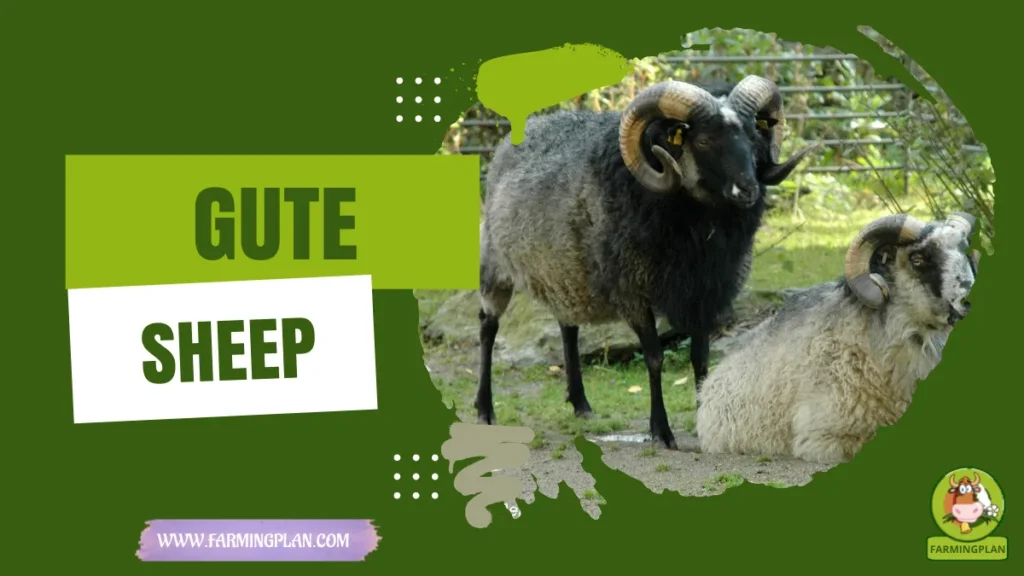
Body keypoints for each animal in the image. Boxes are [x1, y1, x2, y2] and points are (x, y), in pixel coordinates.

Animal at [474, 75, 818, 449]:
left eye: (754, 135)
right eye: (703, 140)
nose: (748, 190)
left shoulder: (706, 292)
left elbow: (701, 357)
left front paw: (703, 418)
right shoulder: (633, 292)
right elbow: (654, 358)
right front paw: (662, 432)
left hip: (565, 271)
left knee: (568, 327)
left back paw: (581, 405)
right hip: (495, 267)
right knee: (488, 327)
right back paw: (485, 410)